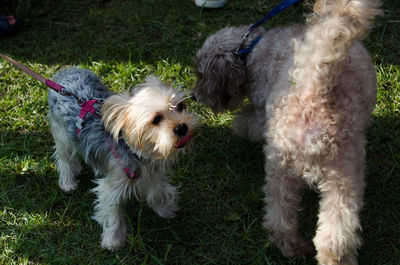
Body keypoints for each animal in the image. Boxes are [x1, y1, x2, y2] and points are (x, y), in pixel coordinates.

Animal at [47, 67, 198, 250]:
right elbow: (112, 213)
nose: (182, 127)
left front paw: (167, 210)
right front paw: (113, 241)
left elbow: (158, 191)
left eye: (181, 106)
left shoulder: (152, 173)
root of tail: (65, 71)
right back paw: (68, 182)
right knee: (64, 157)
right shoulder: (113, 184)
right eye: (156, 119)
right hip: (62, 133)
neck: (140, 152)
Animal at [195, 0, 382, 264]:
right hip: (332, 174)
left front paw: (237, 123)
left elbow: (243, 122)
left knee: (292, 225)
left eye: (200, 73)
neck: (253, 48)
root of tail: (314, 89)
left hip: (295, 168)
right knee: (323, 233)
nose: (194, 96)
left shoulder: (261, 113)